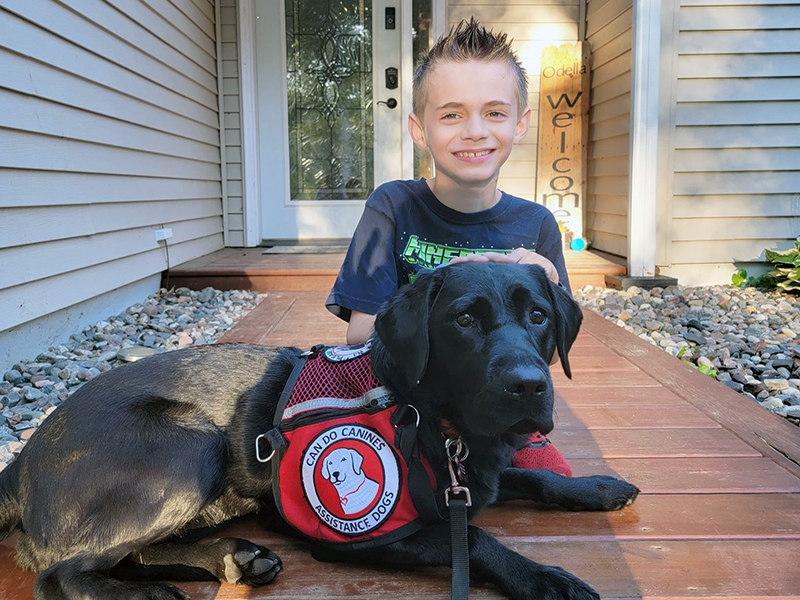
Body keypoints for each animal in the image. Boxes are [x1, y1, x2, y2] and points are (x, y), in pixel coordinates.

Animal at [0, 264, 636, 600]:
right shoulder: (365, 536)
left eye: (539, 317)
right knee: (60, 573)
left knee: (128, 552)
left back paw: (236, 557)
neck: (429, 417)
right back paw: (145, 592)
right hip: (188, 445)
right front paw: (546, 579)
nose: (529, 386)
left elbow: (529, 479)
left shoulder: (476, 478)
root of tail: (20, 461)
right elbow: (476, 537)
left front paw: (597, 488)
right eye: (463, 320)